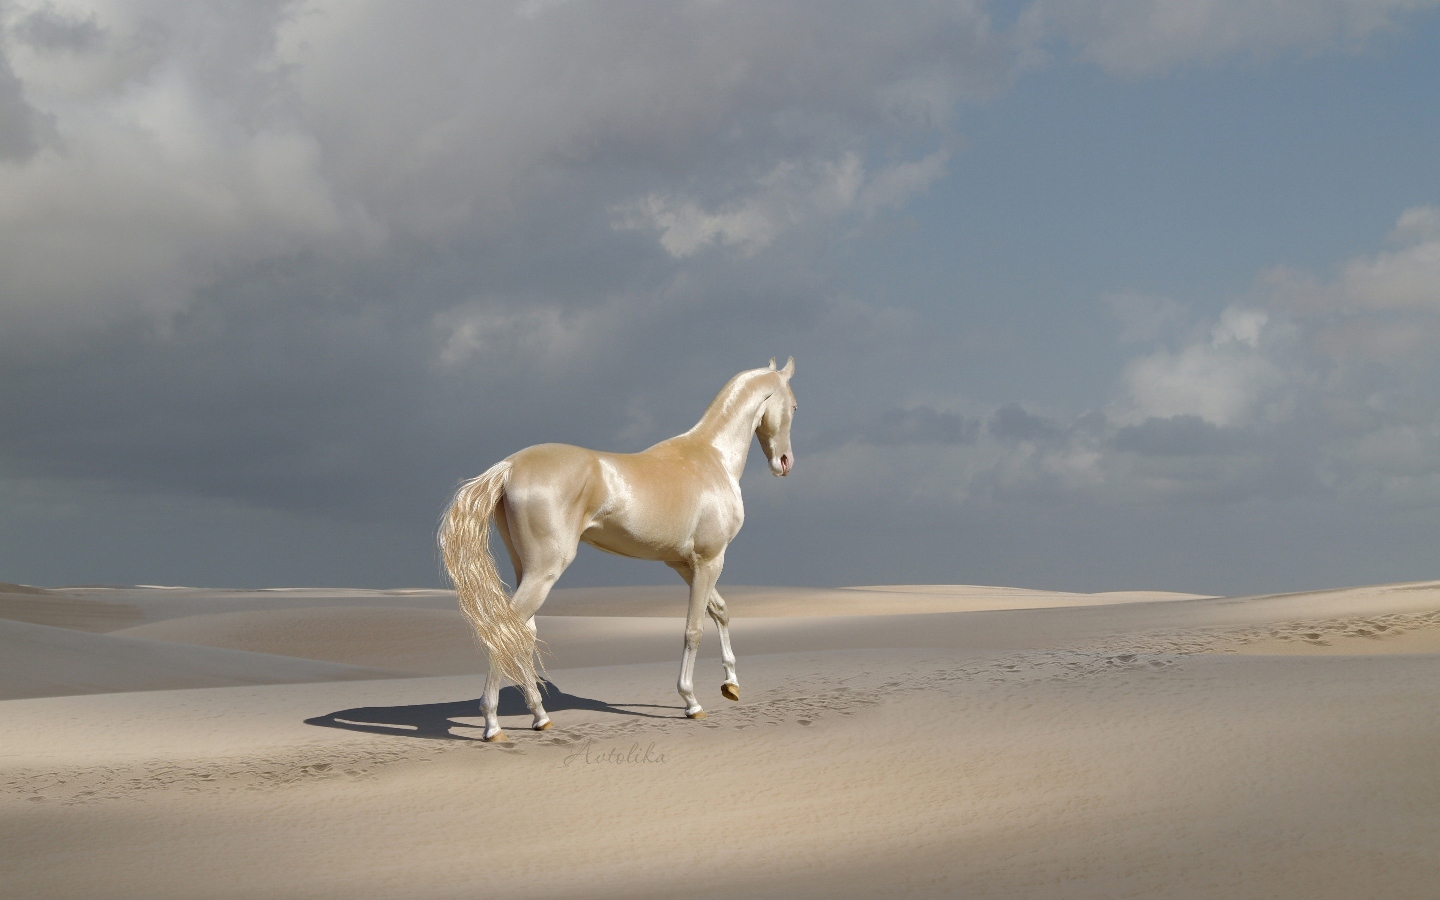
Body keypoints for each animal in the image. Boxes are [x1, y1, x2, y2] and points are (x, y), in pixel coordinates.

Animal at [438, 358, 797, 741]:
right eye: (794, 406)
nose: (784, 463)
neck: (711, 458)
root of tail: (510, 467)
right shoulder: (709, 560)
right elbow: (694, 628)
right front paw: (691, 701)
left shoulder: (683, 564)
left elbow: (721, 611)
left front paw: (731, 684)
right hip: (544, 571)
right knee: (505, 631)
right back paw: (492, 724)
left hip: (526, 569)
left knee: (522, 632)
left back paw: (539, 715)